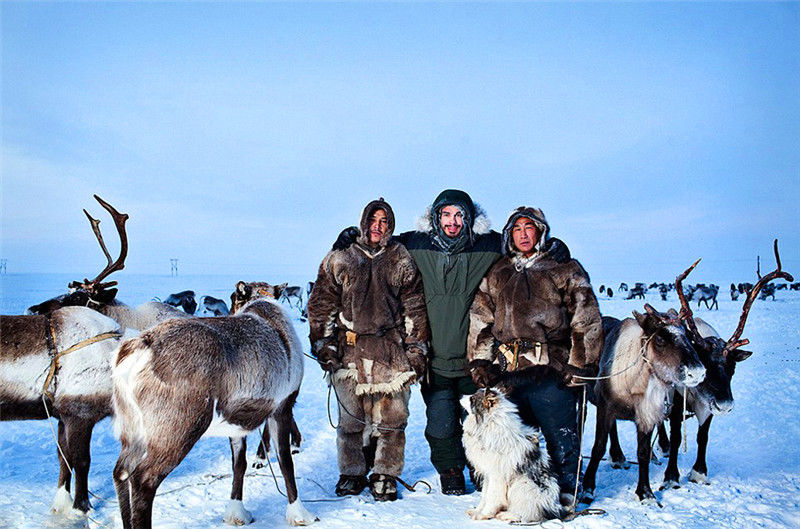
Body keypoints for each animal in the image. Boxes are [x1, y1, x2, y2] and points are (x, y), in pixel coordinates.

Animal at [460, 386, 564, 520]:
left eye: (472, 398)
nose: (461, 396)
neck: (490, 423)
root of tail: (554, 510)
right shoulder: (488, 474)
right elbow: (484, 495)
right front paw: (477, 511)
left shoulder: (497, 475)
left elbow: (491, 497)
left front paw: (484, 514)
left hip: (523, 484)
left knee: (528, 513)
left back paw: (507, 515)